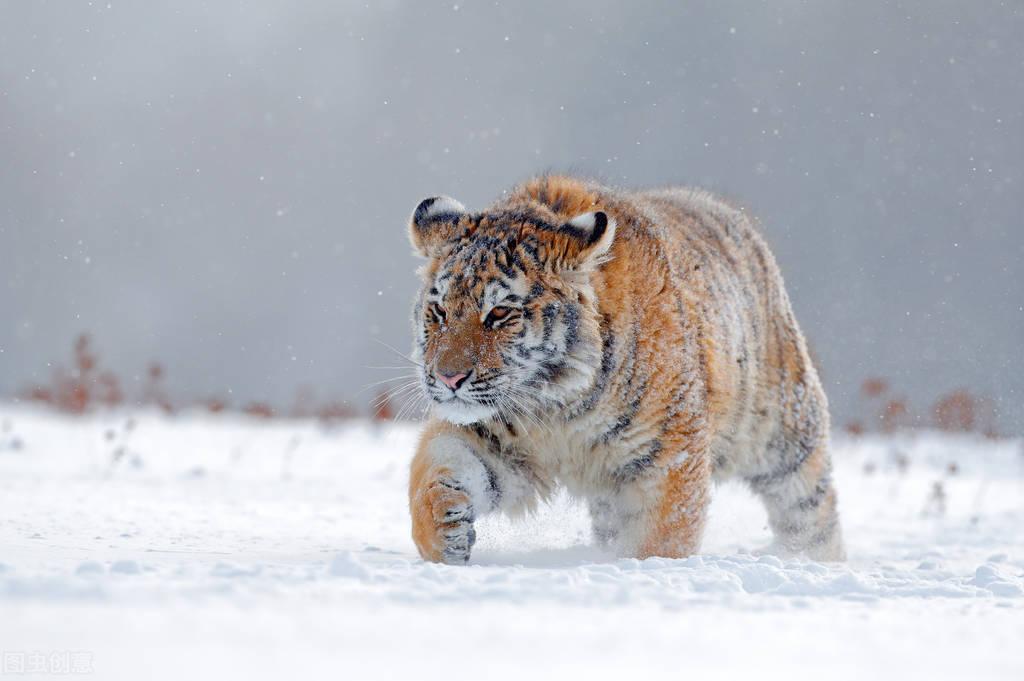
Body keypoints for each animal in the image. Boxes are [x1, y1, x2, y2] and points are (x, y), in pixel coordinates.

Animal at [403, 174, 843, 561]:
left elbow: (661, 540)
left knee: (810, 511)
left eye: (499, 313)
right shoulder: (490, 436)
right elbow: (435, 470)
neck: (556, 405)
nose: (448, 377)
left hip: (785, 437)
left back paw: (815, 560)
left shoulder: (668, 458)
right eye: (439, 311)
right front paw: (444, 536)